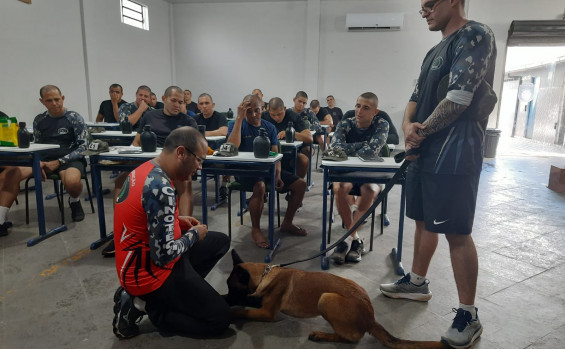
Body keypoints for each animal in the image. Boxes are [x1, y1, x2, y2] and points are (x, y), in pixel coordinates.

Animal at [225, 249, 446, 346]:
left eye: (231, 287)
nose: (224, 299)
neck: (265, 274)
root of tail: (370, 318)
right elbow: (248, 300)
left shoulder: (267, 312)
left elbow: (243, 309)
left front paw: (230, 309)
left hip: (325, 298)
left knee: (350, 338)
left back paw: (322, 335)